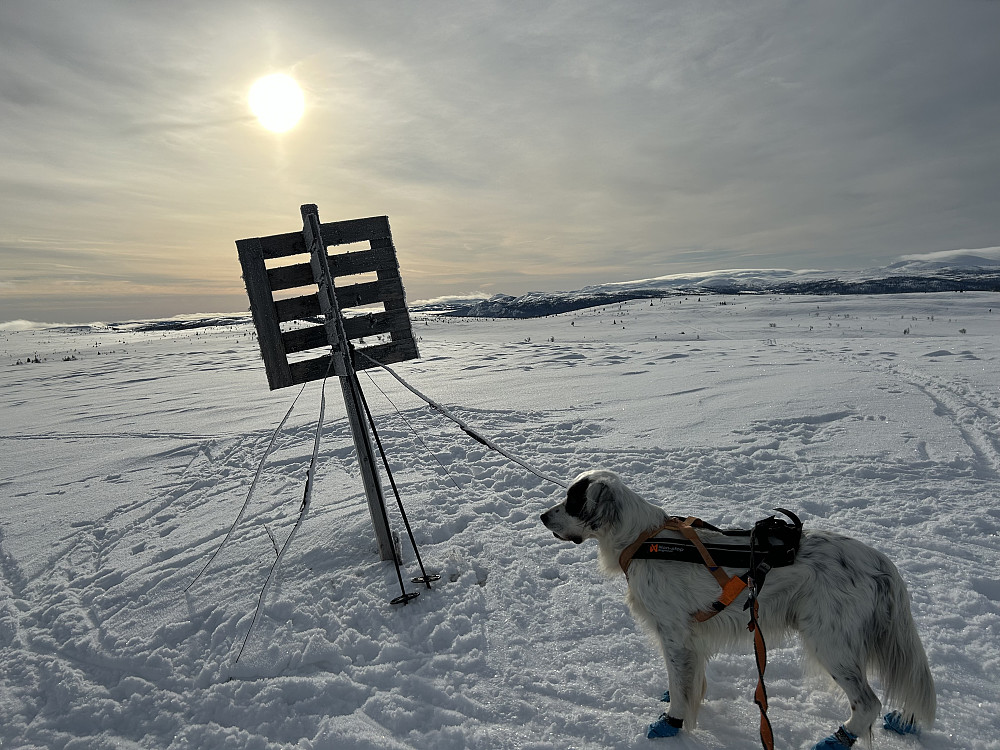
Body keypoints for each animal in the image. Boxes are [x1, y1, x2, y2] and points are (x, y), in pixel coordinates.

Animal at [540, 472, 936, 748]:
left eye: (572, 501)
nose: (543, 516)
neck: (643, 540)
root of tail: (880, 561)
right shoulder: (690, 636)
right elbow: (688, 679)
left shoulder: (674, 631)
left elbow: (680, 686)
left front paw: (672, 722)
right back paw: (904, 720)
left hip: (831, 642)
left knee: (867, 703)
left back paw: (835, 740)